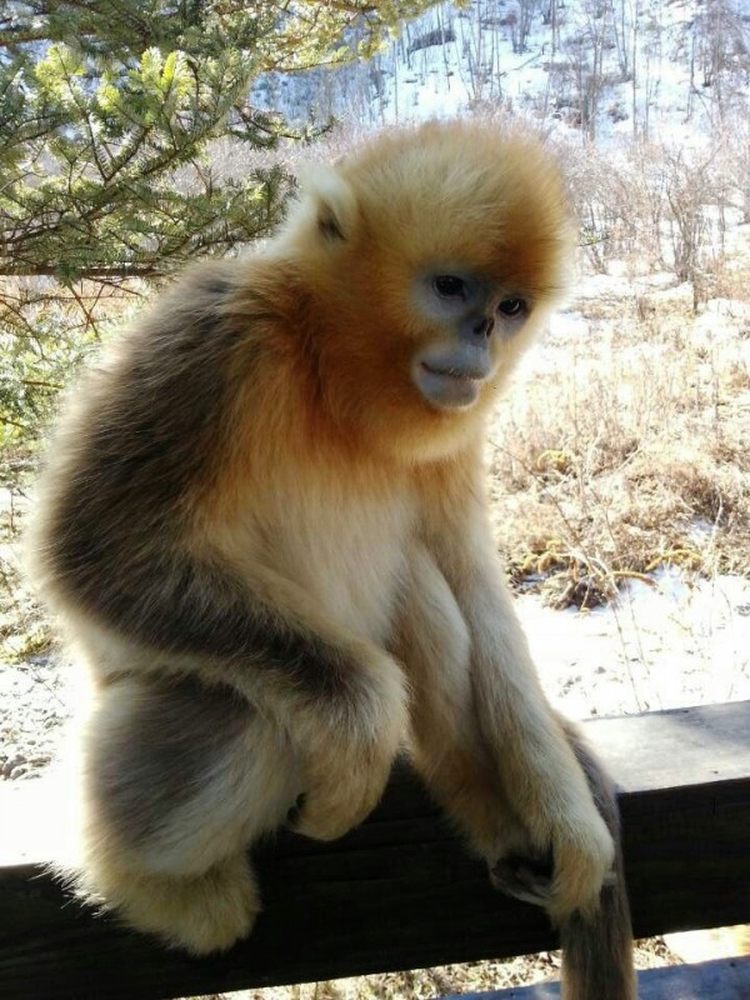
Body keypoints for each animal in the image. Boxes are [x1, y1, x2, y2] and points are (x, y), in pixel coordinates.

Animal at [29, 120, 635, 997]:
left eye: (511, 306)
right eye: (450, 288)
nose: (484, 336)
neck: (331, 380)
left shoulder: (456, 432)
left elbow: (473, 584)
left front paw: (571, 828)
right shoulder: (223, 333)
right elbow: (95, 547)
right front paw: (362, 735)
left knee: (431, 600)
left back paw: (490, 817)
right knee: (246, 717)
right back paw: (140, 879)